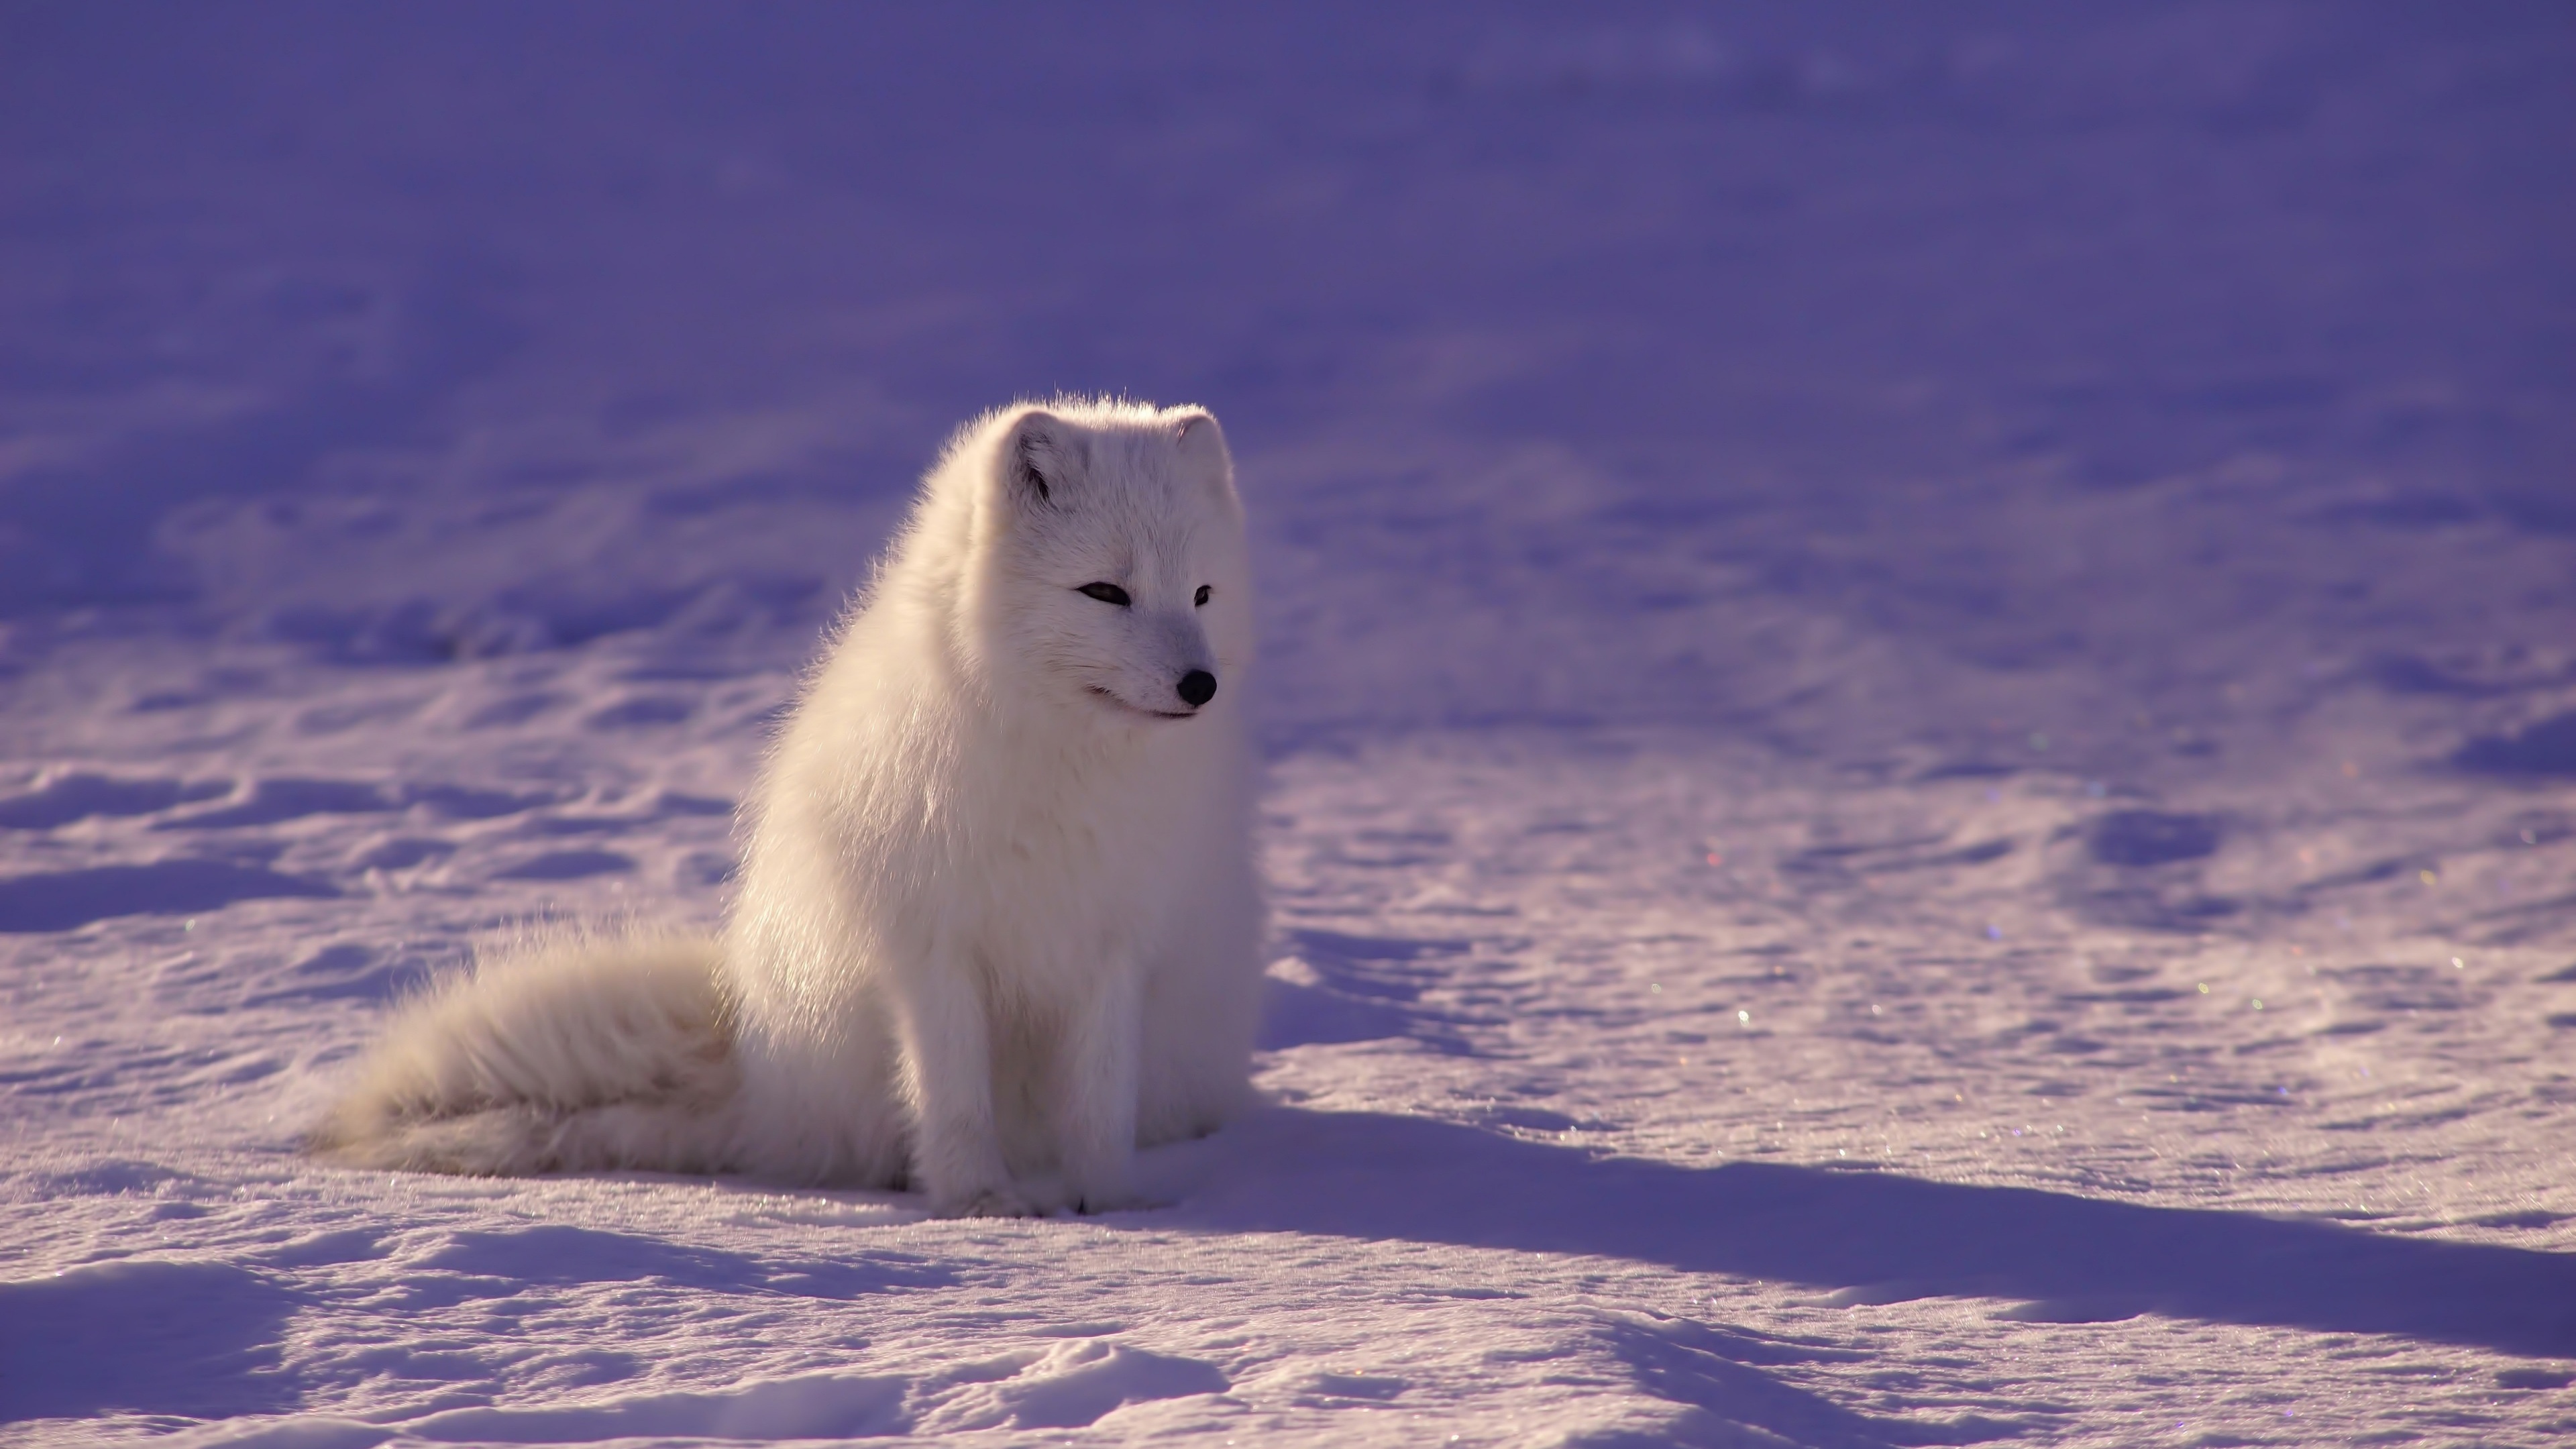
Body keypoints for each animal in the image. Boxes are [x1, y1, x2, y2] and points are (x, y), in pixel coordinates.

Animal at [317, 396, 1262, 1206]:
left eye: (1202, 593)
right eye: (1106, 591)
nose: (1201, 685)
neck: (1063, 766)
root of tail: (758, 1073)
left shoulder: (1116, 946)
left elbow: (1099, 1103)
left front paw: (1112, 1207)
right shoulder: (931, 947)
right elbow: (954, 1097)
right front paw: (981, 1204)